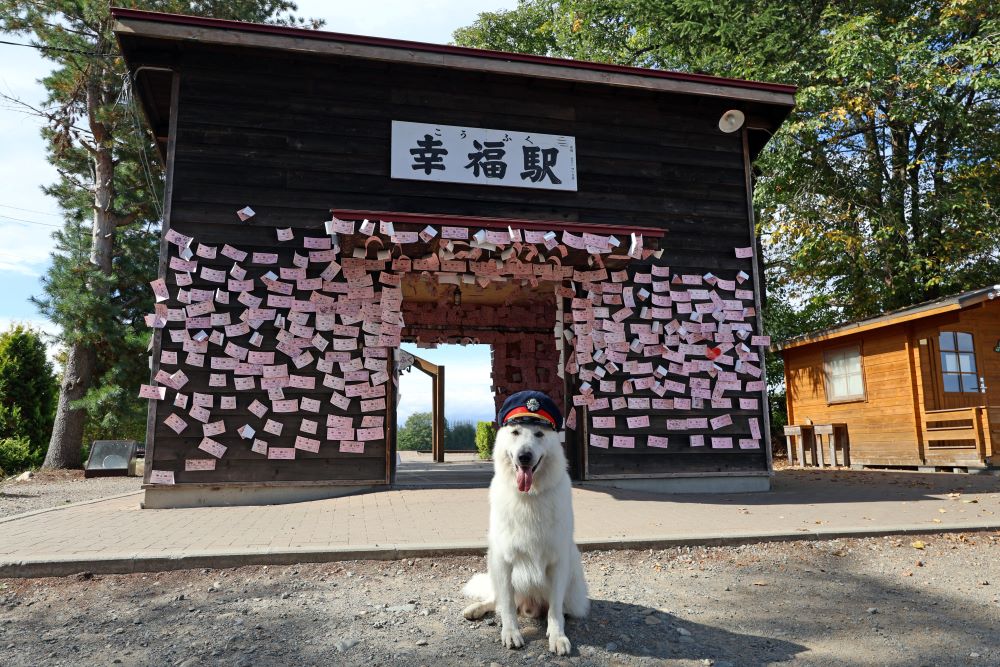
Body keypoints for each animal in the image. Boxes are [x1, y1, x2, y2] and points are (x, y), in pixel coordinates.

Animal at [462, 420, 588, 656]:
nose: (524, 457)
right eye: (515, 432)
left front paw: (557, 636)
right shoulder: (503, 561)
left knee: (561, 607)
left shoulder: (558, 562)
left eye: (539, 434)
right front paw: (511, 632)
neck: (529, 496)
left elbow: (555, 609)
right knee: (496, 600)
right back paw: (475, 609)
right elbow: (508, 606)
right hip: (492, 563)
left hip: (574, 580)